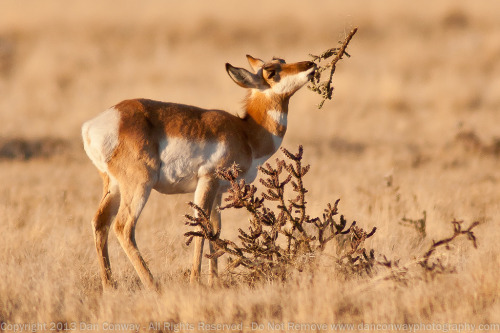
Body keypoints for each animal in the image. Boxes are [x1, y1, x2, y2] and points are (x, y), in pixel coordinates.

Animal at [82, 54, 316, 290]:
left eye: (282, 60)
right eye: (271, 71)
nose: (310, 65)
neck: (246, 132)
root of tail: (96, 124)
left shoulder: (219, 192)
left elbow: (215, 229)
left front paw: (215, 281)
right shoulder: (208, 181)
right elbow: (202, 227)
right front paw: (196, 280)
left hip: (114, 187)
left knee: (100, 222)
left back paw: (110, 286)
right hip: (139, 186)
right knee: (123, 227)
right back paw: (154, 287)